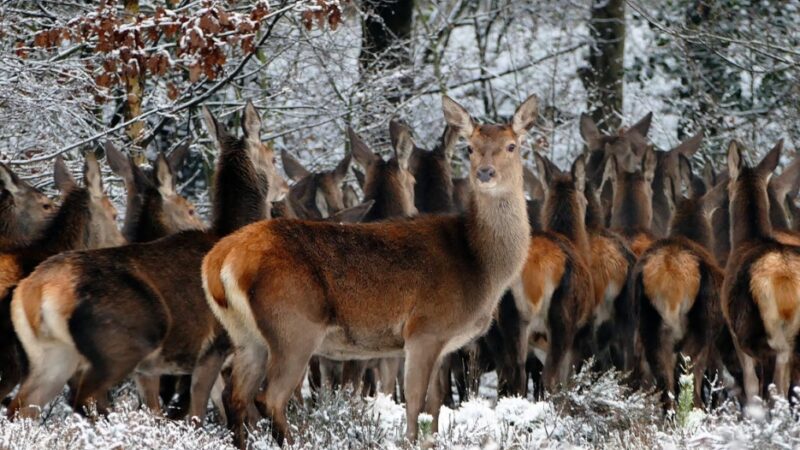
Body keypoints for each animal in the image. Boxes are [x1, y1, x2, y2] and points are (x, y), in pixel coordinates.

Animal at [200, 95, 536, 446]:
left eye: (512, 145)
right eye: (469, 147)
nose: (485, 172)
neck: (479, 264)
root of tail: (219, 259)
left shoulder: (443, 343)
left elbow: (435, 406)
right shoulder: (425, 329)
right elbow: (414, 404)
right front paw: (408, 441)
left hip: (245, 335)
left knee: (234, 396)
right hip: (293, 325)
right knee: (269, 397)